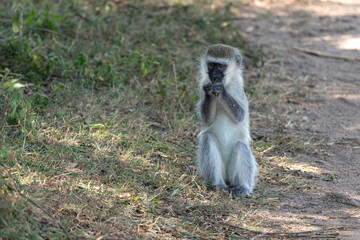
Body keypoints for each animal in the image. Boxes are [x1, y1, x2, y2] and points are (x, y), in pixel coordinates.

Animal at [197, 44, 258, 196]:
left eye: (220, 66)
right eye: (211, 64)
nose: (214, 75)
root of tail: (226, 176)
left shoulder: (238, 87)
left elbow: (241, 115)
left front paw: (222, 91)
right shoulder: (202, 84)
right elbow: (207, 120)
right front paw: (210, 91)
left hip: (232, 172)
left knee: (241, 146)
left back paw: (243, 187)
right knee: (208, 138)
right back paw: (218, 184)